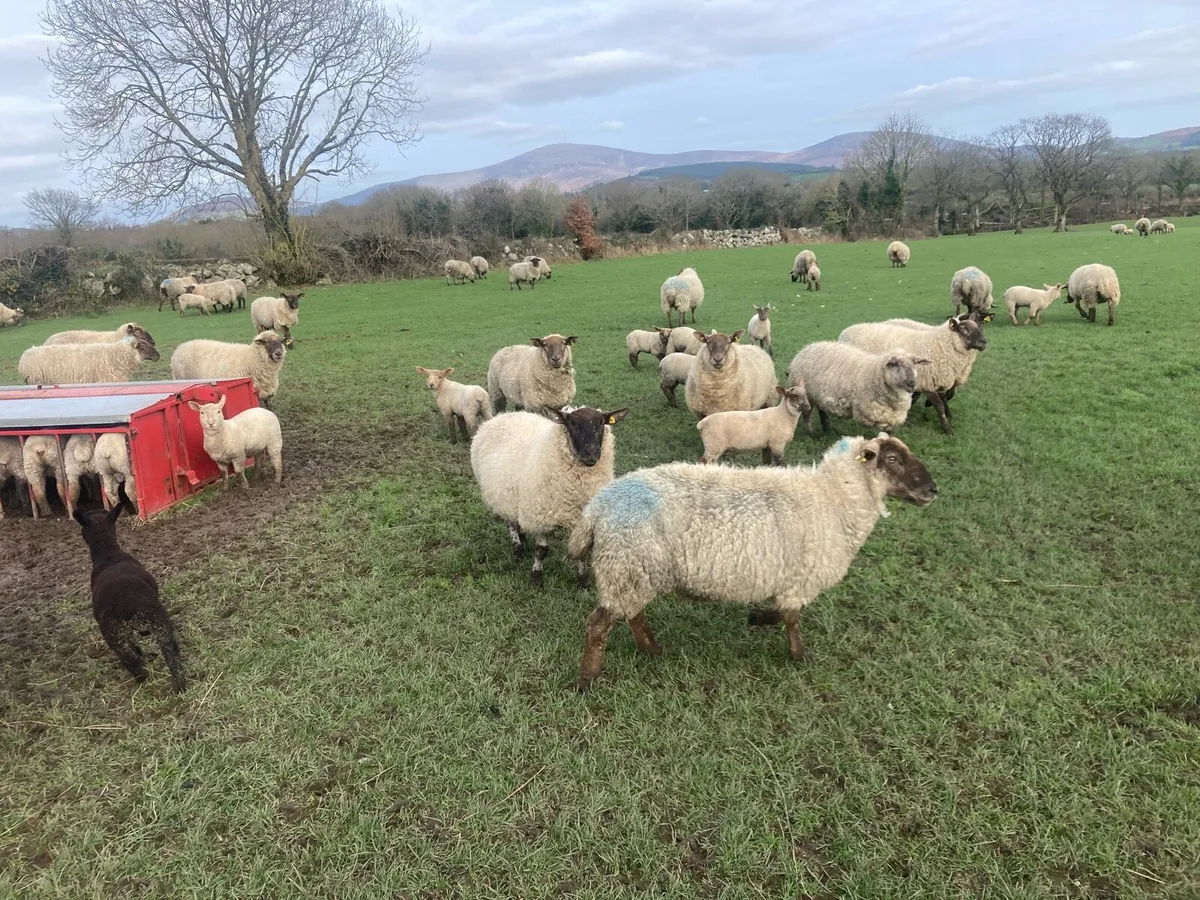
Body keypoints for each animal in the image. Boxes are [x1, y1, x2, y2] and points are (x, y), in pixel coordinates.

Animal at [74, 505, 185, 693]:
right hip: (150, 625)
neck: (107, 551)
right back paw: (173, 684)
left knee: (132, 657)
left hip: (118, 635)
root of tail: (124, 605)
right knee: (166, 652)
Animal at [471, 405, 627, 584]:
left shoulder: (581, 521)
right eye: (571, 423)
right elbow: (541, 550)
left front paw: (583, 580)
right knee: (510, 522)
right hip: (503, 497)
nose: (591, 452)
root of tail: (503, 415)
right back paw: (518, 548)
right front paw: (536, 576)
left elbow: (581, 552)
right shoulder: (539, 517)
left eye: (602, 422)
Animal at [568, 433, 937, 689]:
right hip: (628, 566)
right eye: (893, 458)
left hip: (636, 571)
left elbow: (784, 614)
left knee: (633, 615)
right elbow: (791, 617)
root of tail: (597, 508)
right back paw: (588, 678)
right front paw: (798, 654)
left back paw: (651, 649)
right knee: (599, 625)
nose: (933, 490)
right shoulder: (800, 581)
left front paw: (758, 617)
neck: (833, 499)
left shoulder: (792, 579)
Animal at [787, 341, 928, 434]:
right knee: (807, 414)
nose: (912, 383)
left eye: (915, 364)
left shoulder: (889, 415)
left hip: (818, 394)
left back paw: (826, 428)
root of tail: (807, 348)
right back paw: (811, 432)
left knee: (822, 409)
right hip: (807, 395)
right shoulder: (878, 414)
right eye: (895, 364)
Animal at [838, 317, 988, 433]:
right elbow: (939, 404)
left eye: (979, 327)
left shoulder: (941, 379)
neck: (940, 345)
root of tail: (846, 331)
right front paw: (947, 428)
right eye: (964, 330)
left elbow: (946, 396)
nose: (984, 342)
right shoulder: (927, 383)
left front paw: (947, 414)